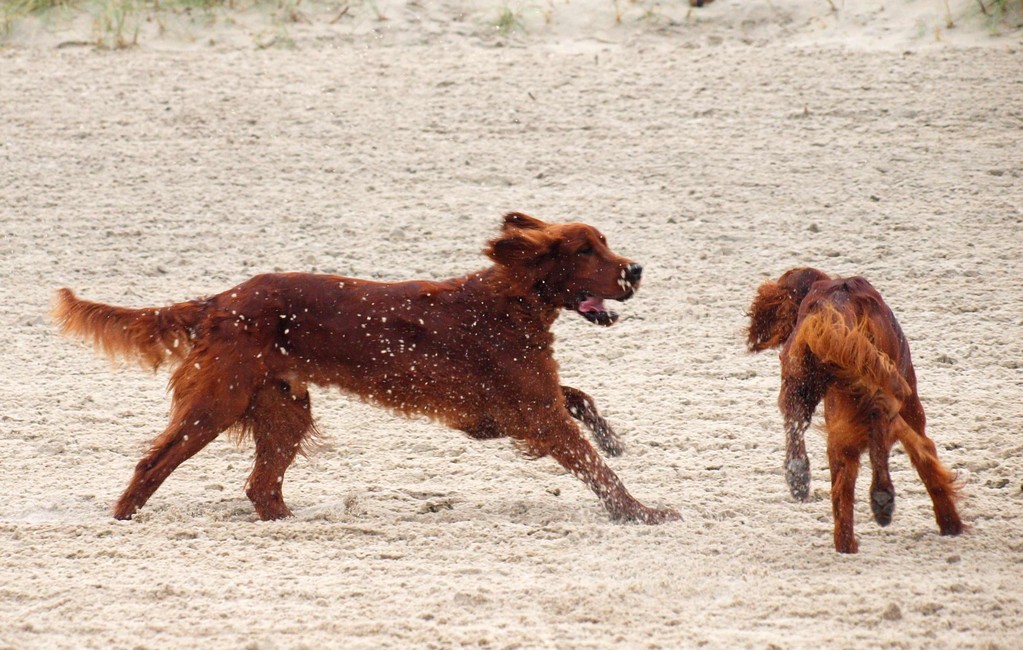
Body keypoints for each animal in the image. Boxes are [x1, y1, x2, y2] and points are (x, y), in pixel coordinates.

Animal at [53, 215, 679, 528]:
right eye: (586, 251)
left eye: (606, 243)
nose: (636, 270)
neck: (510, 299)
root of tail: (222, 299)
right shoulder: (536, 415)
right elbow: (598, 469)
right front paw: (641, 513)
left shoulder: (521, 406)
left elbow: (581, 399)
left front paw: (614, 438)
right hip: (219, 401)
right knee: (154, 462)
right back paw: (122, 519)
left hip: (285, 407)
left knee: (261, 487)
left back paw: (295, 521)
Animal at [748, 266, 961, 552]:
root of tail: (839, 301)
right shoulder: (912, 408)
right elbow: (925, 455)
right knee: (880, 429)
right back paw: (882, 498)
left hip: (802, 382)